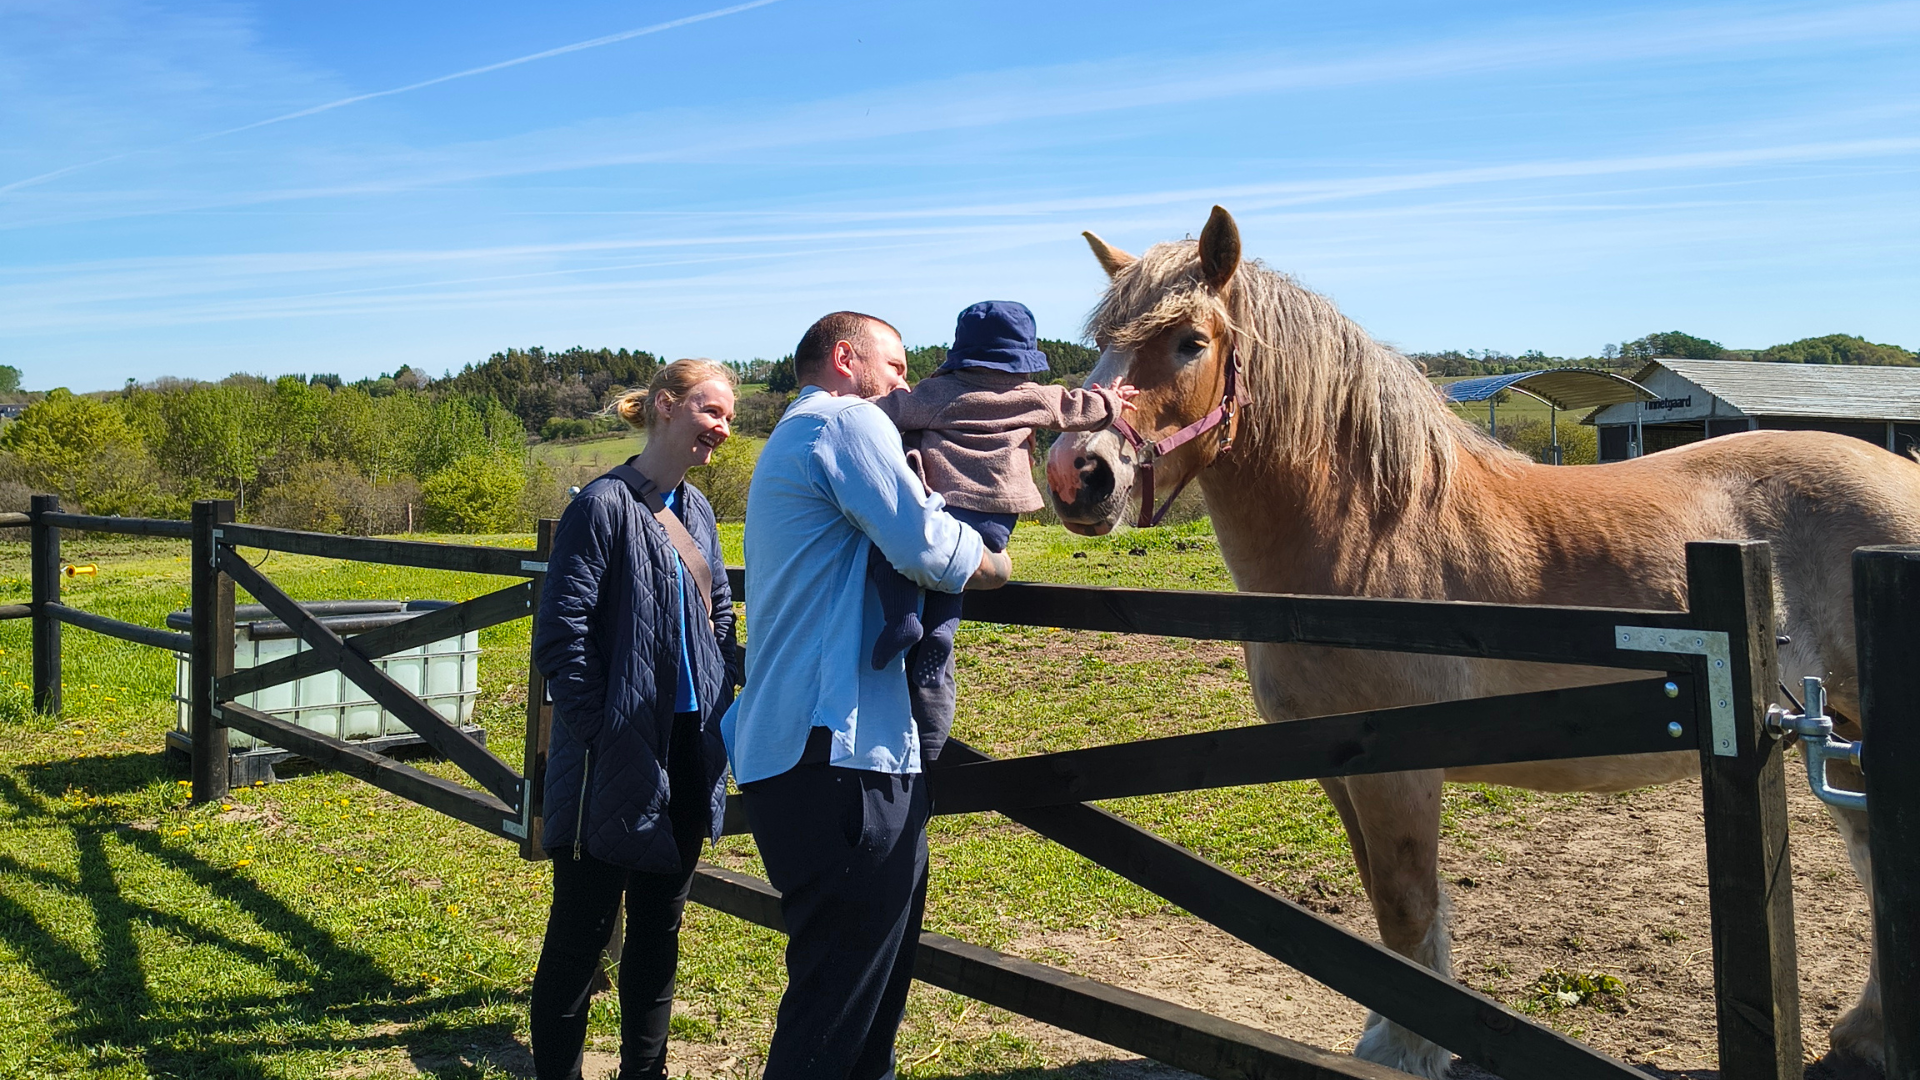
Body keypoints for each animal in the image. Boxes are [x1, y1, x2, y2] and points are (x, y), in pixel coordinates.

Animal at [1044, 206, 1920, 1078]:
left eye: (1190, 340)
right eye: (1103, 340)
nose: (1076, 474)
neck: (1368, 533)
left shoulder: (1400, 771)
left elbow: (1406, 907)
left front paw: (1411, 1048)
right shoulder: (1336, 767)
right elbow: (1383, 908)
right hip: (1842, 737)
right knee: (1872, 857)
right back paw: (1868, 1035)